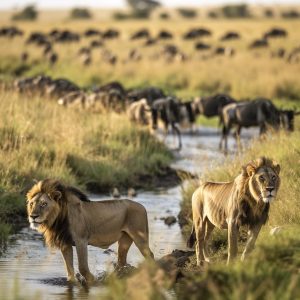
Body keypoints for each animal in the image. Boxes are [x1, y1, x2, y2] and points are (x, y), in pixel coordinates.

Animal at [26, 178, 154, 284]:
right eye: (31, 204)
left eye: (44, 204)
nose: (33, 216)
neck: (59, 218)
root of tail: (142, 206)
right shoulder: (65, 243)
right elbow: (69, 269)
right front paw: (72, 281)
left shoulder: (81, 240)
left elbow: (82, 266)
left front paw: (92, 280)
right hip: (124, 241)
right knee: (121, 262)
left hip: (140, 237)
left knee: (150, 255)